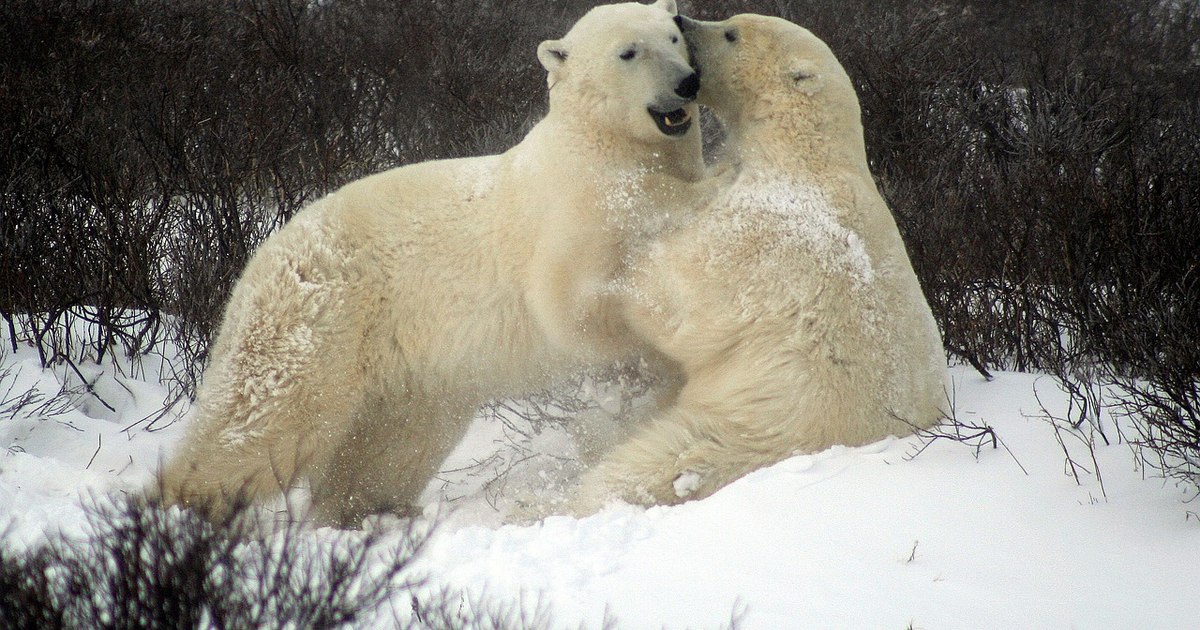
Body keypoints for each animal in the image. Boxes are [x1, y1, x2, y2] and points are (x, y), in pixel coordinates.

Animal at [154, 0, 710, 527]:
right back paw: (181, 509)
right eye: (628, 52)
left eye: (673, 36)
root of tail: (260, 256)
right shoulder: (572, 212)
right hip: (319, 318)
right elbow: (573, 307)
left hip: (409, 373)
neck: (602, 146)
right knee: (263, 420)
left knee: (392, 448)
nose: (687, 82)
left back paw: (368, 511)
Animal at [571, 13, 950, 512]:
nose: (682, 19)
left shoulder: (764, 232)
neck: (803, 152)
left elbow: (681, 297)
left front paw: (618, 270)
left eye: (731, 32)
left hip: (750, 426)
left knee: (652, 464)